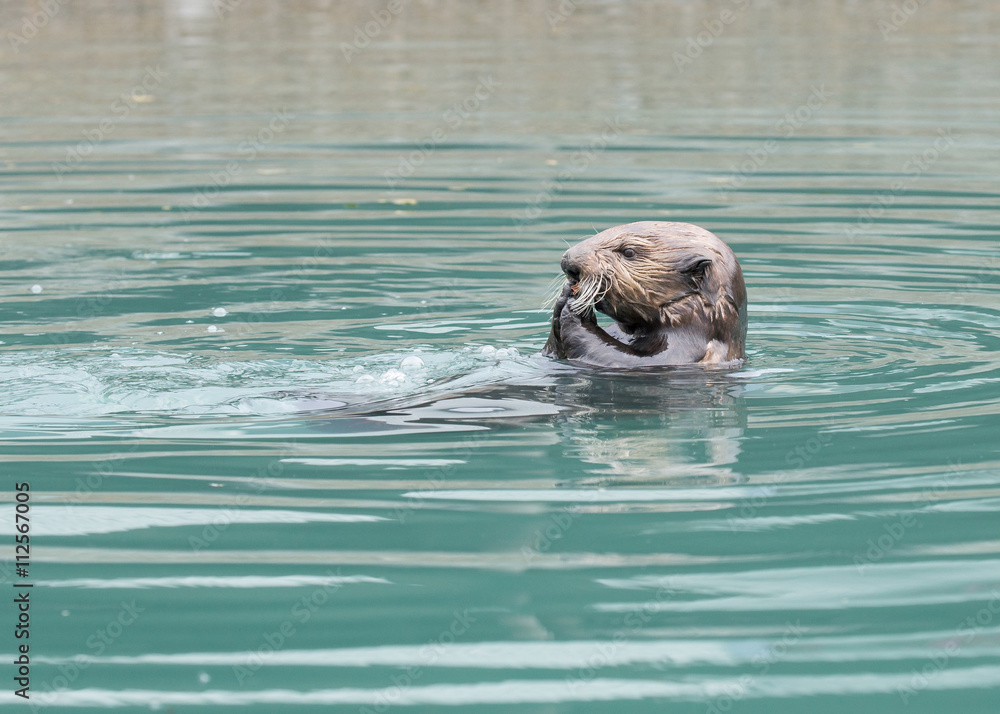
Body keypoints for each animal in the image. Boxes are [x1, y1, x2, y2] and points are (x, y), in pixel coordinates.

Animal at [542, 221, 747, 368]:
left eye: (628, 252)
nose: (567, 263)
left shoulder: (683, 351)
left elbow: (615, 358)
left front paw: (575, 312)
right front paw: (564, 298)